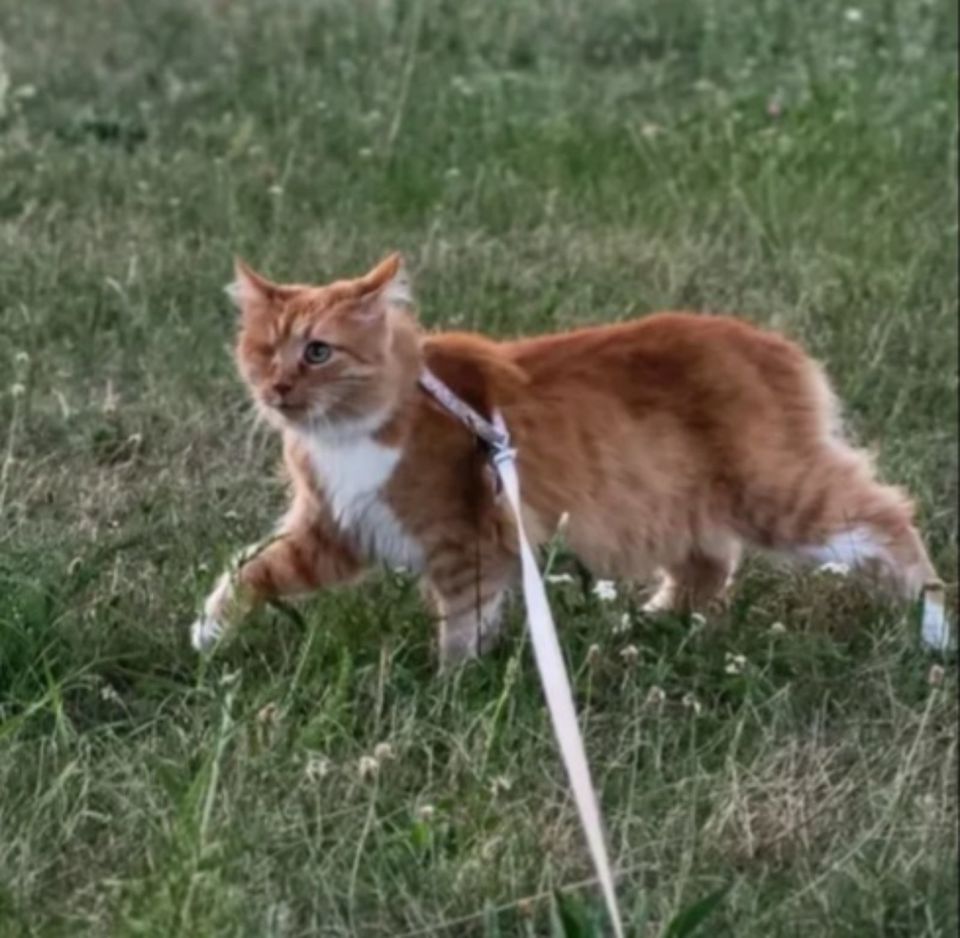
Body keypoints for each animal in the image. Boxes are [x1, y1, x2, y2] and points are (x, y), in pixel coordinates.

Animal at [189, 249, 952, 660]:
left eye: (318, 352)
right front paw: (206, 633)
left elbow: (460, 627)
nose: (278, 386)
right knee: (709, 566)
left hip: (779, 496)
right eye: (265, 349)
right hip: (681, 503)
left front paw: (450, 690)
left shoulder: (462, 542)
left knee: (891, 517)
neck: (350, 436)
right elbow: (250, 571)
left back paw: (936, 631)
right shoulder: (332, 533)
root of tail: (776, 345)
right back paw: (648, 626)